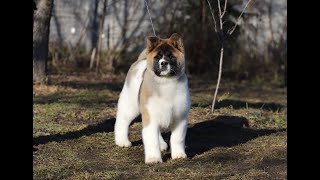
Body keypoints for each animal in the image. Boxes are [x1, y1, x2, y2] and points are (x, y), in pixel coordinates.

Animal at [115, 33, 190, 164]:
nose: (163, 63)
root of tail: (141, 61)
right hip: (130, 105)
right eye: (158, 57)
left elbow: (177, 138)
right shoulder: (150, 116)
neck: (166, 82)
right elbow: (151, 139)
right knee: (122, 120)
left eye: (171, 56)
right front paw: (154, 159)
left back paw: (162, 145)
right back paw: (122, 141)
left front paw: (179, 155)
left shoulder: (179, 117)